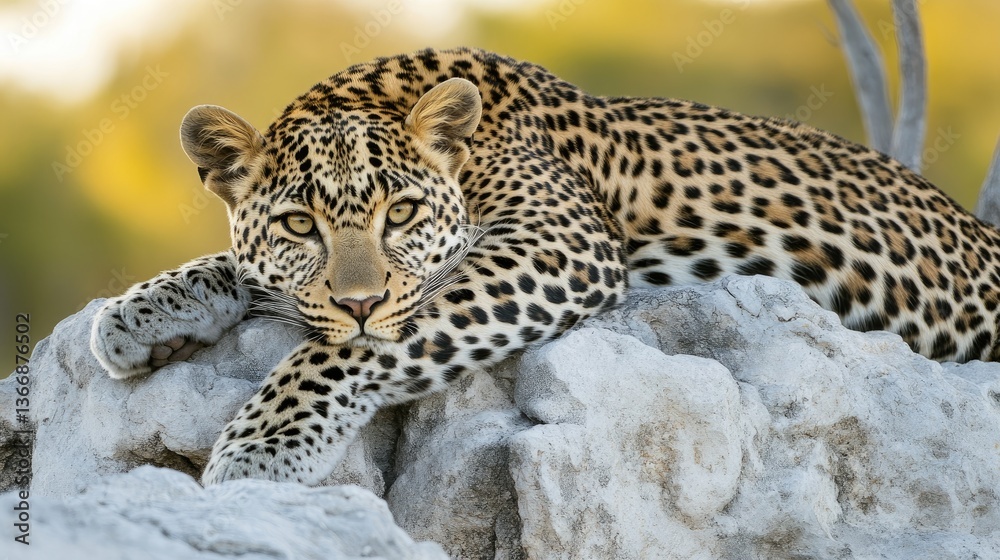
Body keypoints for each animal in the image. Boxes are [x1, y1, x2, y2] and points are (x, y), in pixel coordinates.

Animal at [90, 47, 1000, 486]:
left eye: (403, 214)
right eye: (297, 224)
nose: (357, 299)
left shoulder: (557, 245)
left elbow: (350, 349)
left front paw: (263, 449)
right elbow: (243, 268)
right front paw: (139, 314)